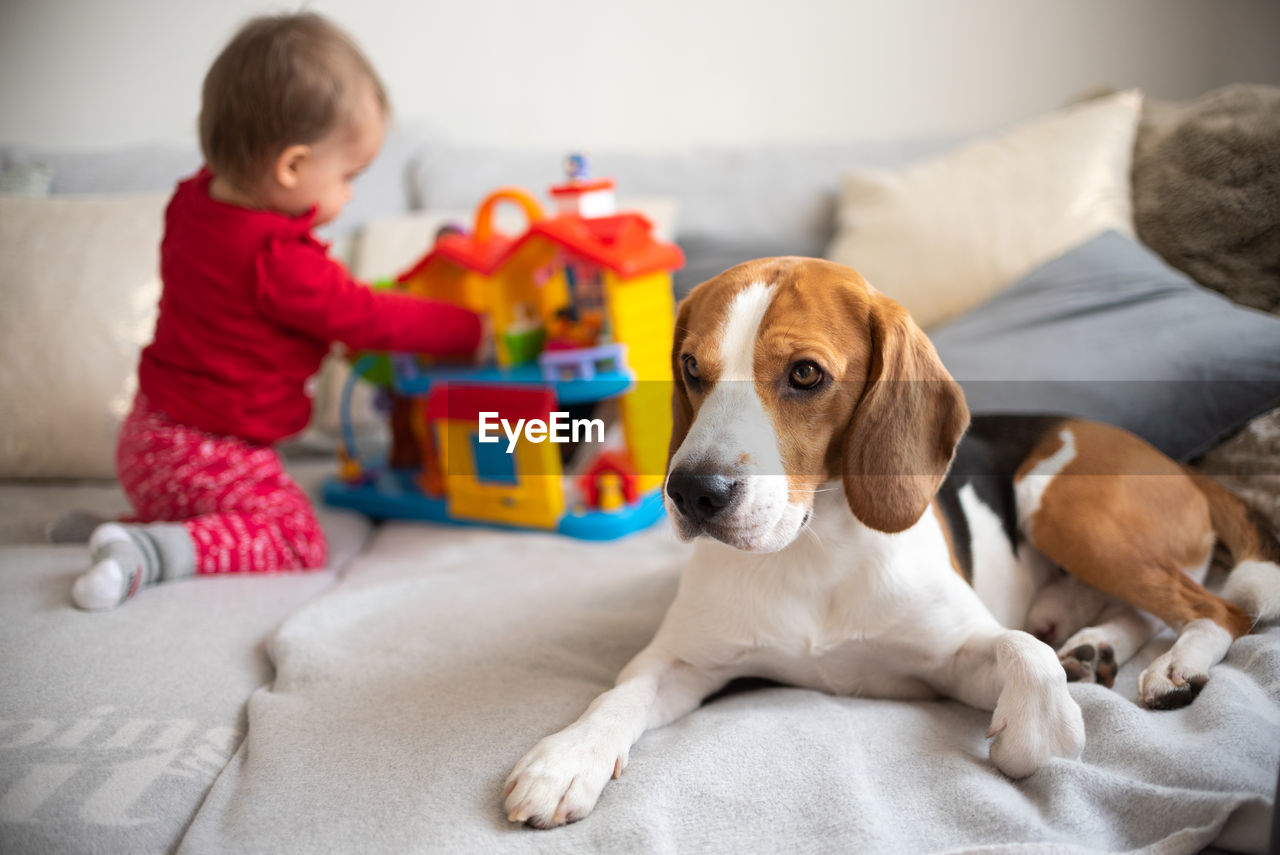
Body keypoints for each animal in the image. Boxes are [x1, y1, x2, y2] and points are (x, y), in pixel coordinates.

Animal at [501, 258, 1280, 829]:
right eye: (692, 367)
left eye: (805, 374)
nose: (693, 492)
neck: (814, 546)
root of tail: (1175, 460)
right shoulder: (681, 662)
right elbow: (617, 695)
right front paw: (566, 759)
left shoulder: (954, 663)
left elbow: (1022, 656)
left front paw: (1039, 735)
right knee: (1138, 611)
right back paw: (1094, 647)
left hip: (1055, 499)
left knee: (1218, 610)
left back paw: (1172, 666)